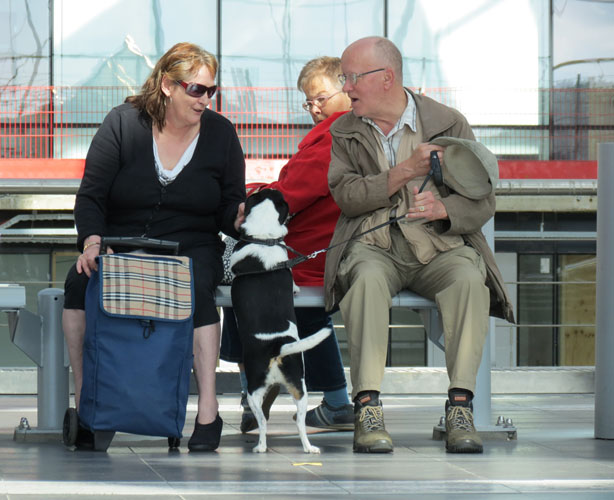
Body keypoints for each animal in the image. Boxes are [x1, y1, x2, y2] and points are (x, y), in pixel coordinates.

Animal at [230, 189, 330, 456]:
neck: (263, 238)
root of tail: (276, 347)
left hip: (254, 390)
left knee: (263, 422)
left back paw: (260, 447)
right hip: (300, 389)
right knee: (299, 423)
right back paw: (308, 448)